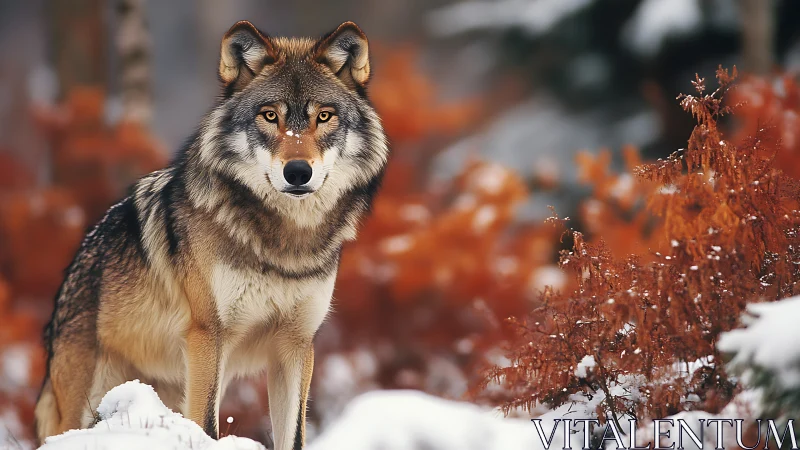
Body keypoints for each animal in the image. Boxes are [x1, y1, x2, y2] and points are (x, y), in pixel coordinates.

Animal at [34, 20, 388, 450]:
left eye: (324, 116)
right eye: (269, 115)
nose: (298, 172)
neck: (285, 243)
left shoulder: (296, 345)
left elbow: (294, 437)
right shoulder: (208, 336)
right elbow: (207, 426)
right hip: (87, 401)